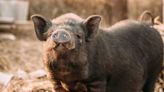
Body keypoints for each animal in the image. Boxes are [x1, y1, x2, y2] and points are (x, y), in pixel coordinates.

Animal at [31, 13, 163, 92]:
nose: (62, 32)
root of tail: (152, 26)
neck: (67, 74)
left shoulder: (98, 79)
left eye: (78, 36)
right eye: (49, 34)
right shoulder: (54, 81)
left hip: (155, 69)